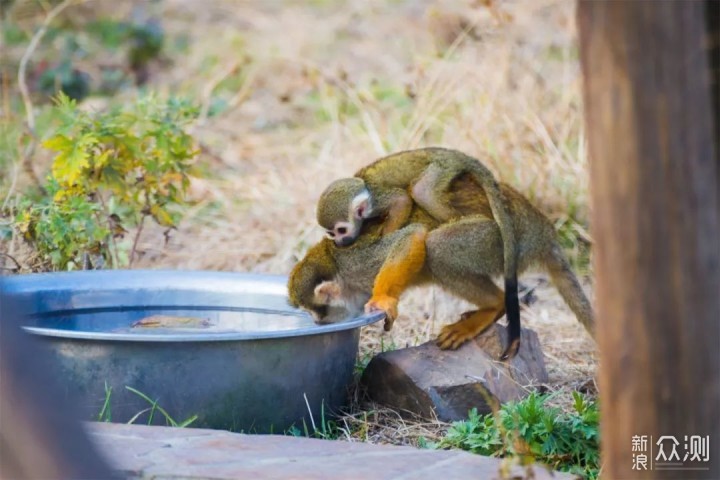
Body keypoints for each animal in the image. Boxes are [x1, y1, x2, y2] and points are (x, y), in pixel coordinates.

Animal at [316, 148, 524, 354]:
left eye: (342, 230)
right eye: (332, 233)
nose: (341, 241)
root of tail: (452, 153)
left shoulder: (376, 200)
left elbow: (401, 201)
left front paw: (386, 233)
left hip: (441, 169)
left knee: (421, 191)